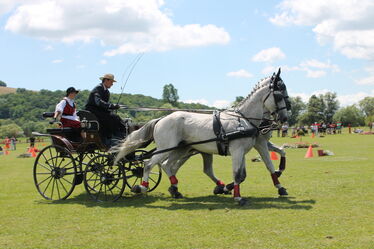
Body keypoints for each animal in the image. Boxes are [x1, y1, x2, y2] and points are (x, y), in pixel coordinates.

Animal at [114, 69, 290, 204]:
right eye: (280, 95)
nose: (285, 118)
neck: (243, 119)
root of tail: (161, 119)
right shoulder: (238, 150)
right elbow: (238, 174)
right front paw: (238, 197)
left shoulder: (247, 149)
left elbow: (254, 170)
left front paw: (279, 186)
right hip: (166, 148)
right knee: (149, 164)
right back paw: (142, 187)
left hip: (180, 149)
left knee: (167, 165)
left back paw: (175, 188)